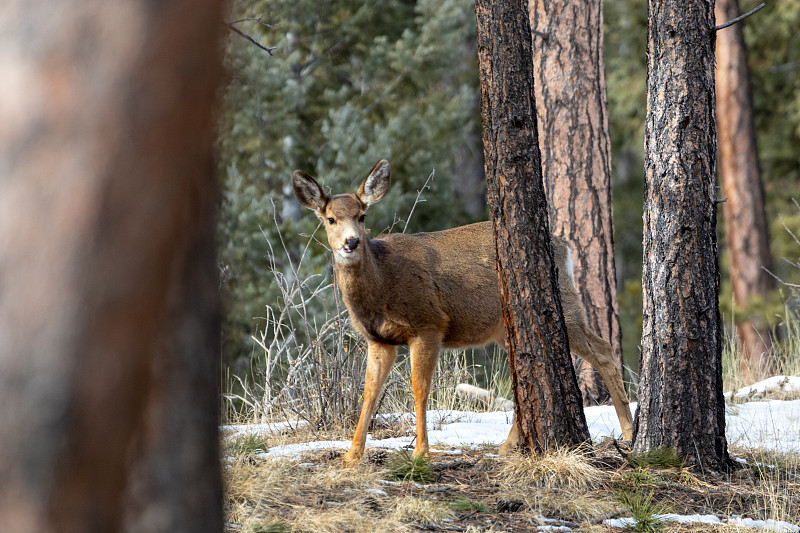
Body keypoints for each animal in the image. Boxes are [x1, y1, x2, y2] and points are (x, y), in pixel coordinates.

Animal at [290, 158, 636, 462]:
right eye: (330, 219)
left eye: (361, 216)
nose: (351, 242)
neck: (382, 283)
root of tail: (565, 248)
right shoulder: (379, 339)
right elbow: (369, 393)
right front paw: (351, 456)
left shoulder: (429, 323)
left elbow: (419, 389)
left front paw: (420, 452)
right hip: (507, 328)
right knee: (523, 374)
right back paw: (508, 445)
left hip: (565, 303)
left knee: (603, 349)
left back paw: (630, 434)